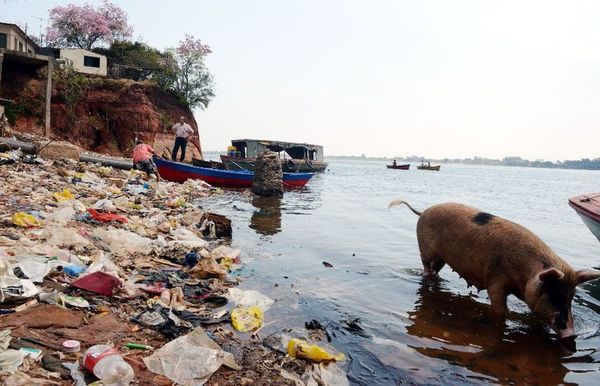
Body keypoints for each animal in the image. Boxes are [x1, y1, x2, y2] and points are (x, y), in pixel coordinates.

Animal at [390, 201, 600, 340]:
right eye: (553, 294)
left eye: (570, 298)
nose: (571, 334)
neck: (524, 273)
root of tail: (423, 211)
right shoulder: (496, 282)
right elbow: (500, 309)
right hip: (425, 250)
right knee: (426, 268)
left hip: (441, 259)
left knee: (435, 271)